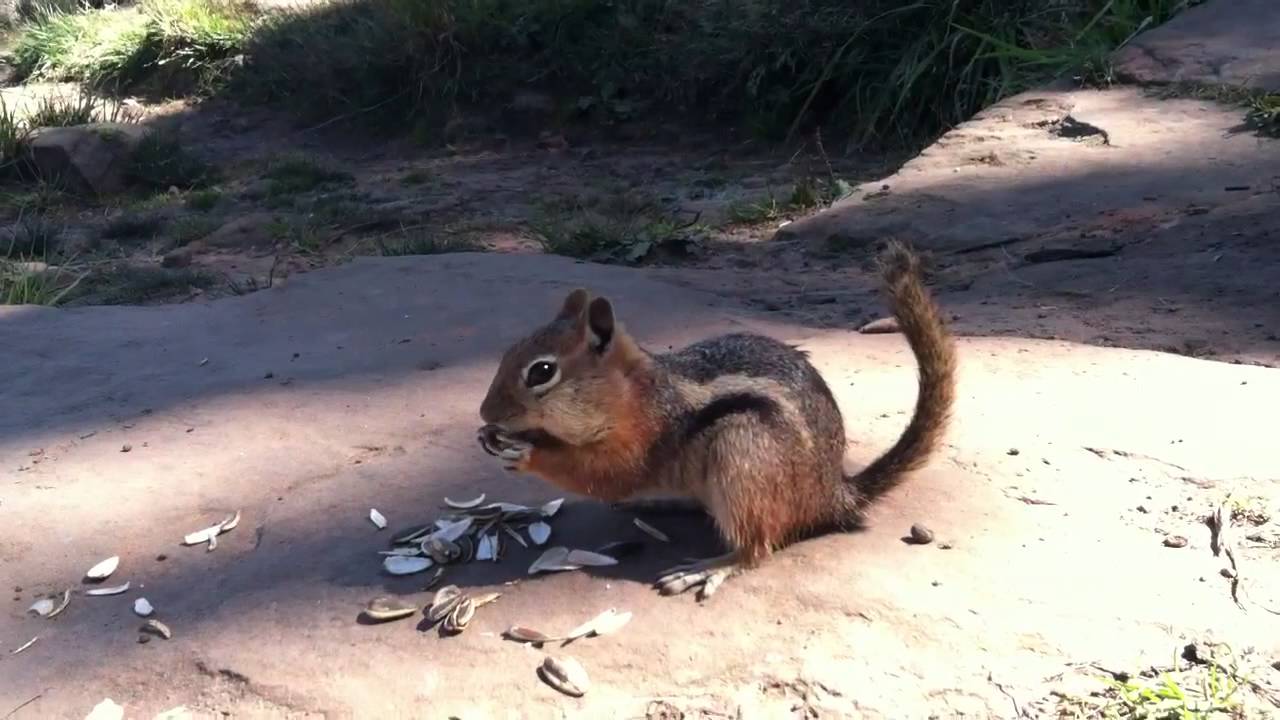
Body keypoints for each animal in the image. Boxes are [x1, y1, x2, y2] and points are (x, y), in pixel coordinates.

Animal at [476, 240, 957, 600]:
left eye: (541, 371)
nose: (484, 412)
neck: (632, 394)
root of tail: (831, 494)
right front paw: (491, 437)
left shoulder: (640, 440)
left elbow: (605, 475)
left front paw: (526, 454)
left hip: (740, 451)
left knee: (757, 547)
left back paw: (709, 568)